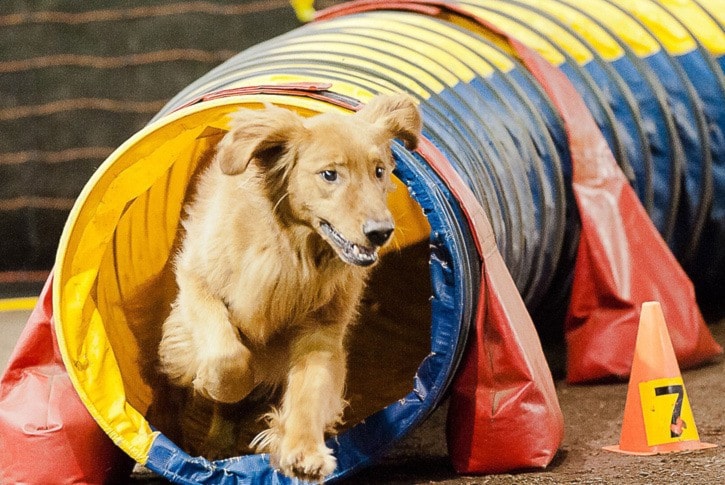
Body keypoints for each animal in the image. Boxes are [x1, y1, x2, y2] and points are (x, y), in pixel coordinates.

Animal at [158, 92, 418, 478]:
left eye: (379, 171)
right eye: (330, 174)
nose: (381, 232)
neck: (294, 252)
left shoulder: (321, 331)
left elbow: (309, 393)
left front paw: (302, 451)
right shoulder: (196, 281)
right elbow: (229, 359)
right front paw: (214, 384)